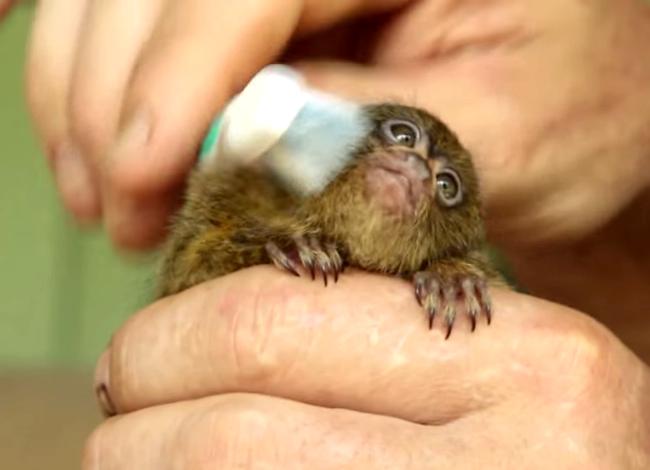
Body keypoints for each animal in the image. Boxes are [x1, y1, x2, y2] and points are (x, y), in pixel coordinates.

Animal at [157, 103, 504, 338]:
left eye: (446, 185)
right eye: (404, 135)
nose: (416, 165)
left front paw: (451, 278)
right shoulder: (228, 190)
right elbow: (185, 266)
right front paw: (294, 242)